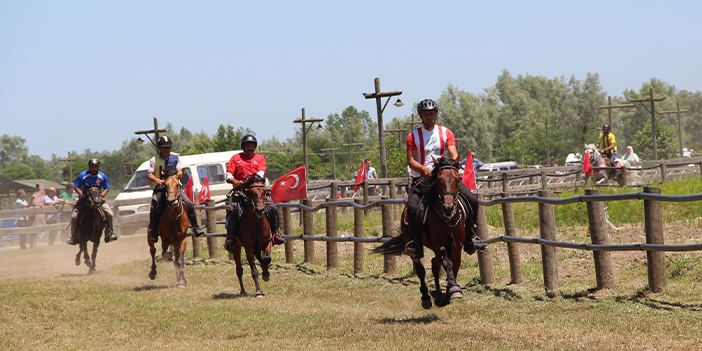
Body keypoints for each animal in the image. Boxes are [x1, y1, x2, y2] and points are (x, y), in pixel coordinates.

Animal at [374, 158, 472, 310]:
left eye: (457, 180)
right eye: (438, 180)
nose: (448, 208)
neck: (448, 221)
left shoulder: (457, 248)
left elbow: (454, 268)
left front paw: (448, 293)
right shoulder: (438, 245)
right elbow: (448, 265)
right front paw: (453, 290)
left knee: (435, 266)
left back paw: (438, 294)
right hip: (415, 247)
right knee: (421, 269)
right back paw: (426, 297)